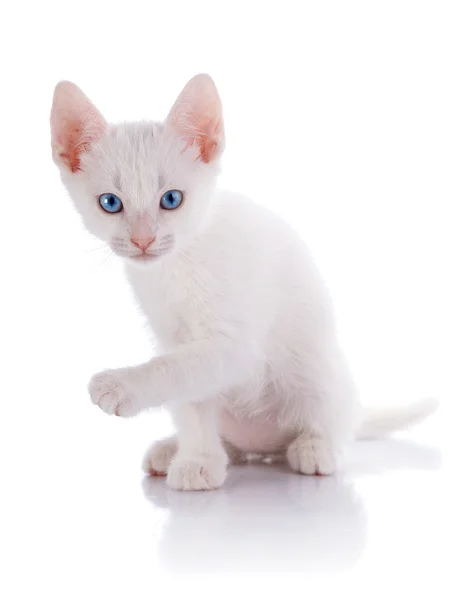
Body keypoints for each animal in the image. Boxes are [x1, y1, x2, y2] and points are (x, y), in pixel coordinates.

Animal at [51, 74, 438, 488]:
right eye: (110, 203)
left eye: (171, 199)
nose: (143, 241)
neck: (176, 268)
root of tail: (263, 446)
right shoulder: (174, 337)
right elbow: (190, 394)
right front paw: (199, 459)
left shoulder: (236, 347)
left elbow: (173, 367)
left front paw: (121, 385)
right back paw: (184, 450)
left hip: (322, 373)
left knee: (336, 421)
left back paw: (315, 448)